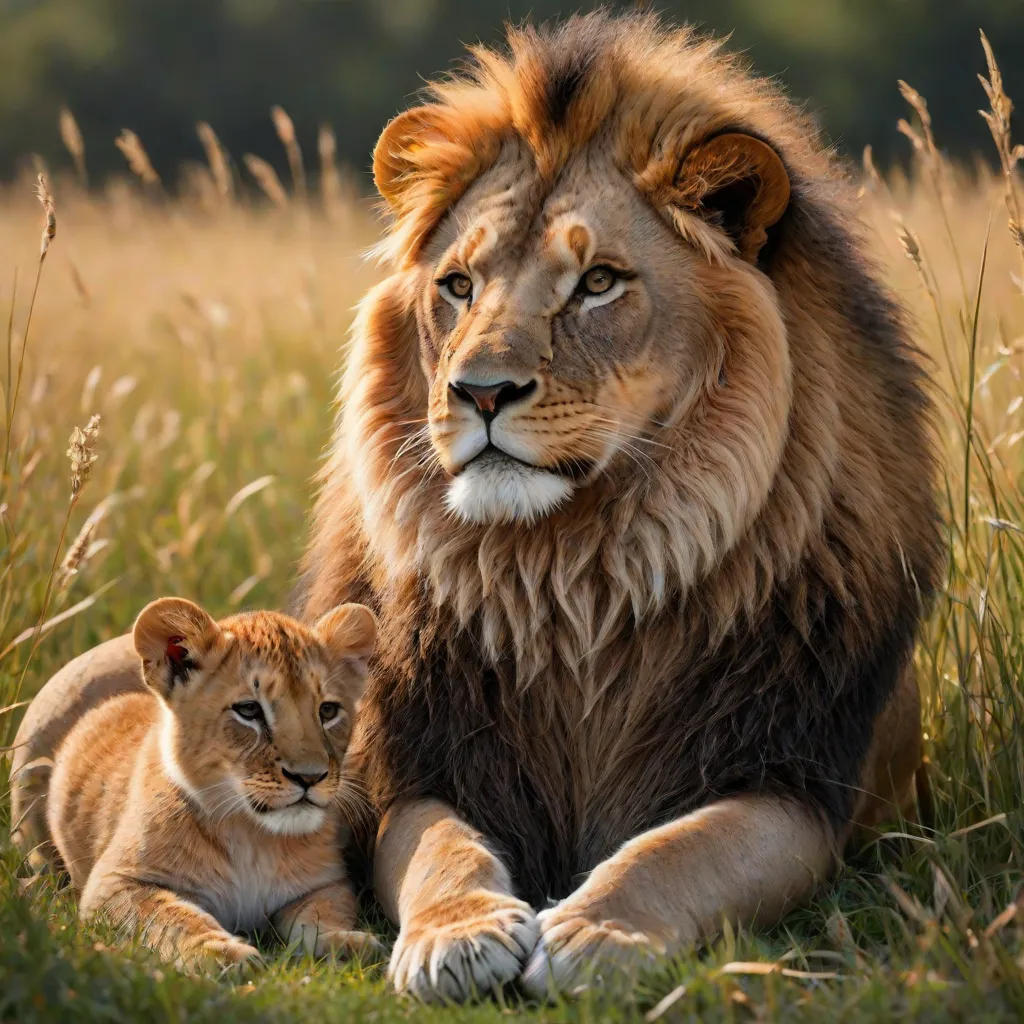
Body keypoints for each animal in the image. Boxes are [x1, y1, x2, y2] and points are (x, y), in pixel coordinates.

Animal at [11, 598, 380, 967]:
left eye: (328, 711)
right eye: (249, 710)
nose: (310, 776)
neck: (252, 836)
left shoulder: (327, 883)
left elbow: (320, 916)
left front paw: (344, 943)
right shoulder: (114, 883)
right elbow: (174, 918)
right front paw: (220, 953)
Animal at [298, 11, 941, 1000]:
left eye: (598, 282)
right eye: (458, 286)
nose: (480, 391)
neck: (577, 570)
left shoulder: (791, 776)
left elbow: (681, 849)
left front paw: (599, 930)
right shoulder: (413, 762)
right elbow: (442, 848)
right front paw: (458, 933)